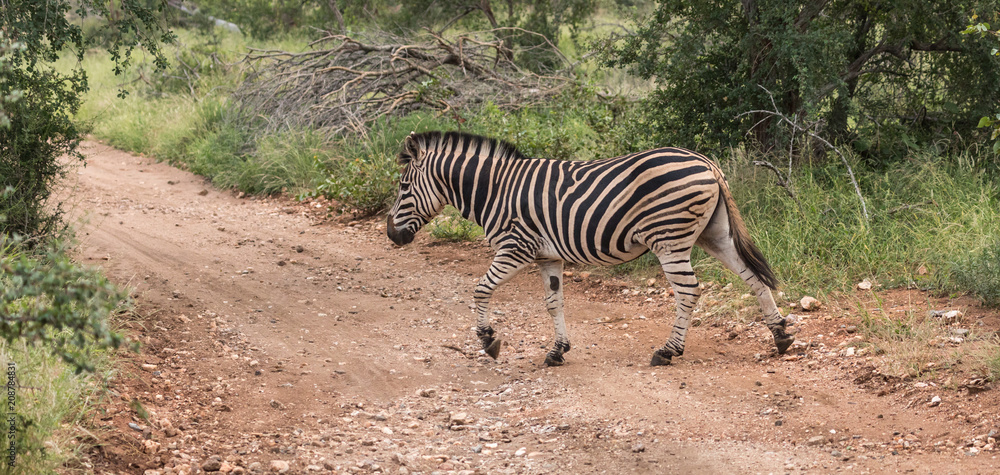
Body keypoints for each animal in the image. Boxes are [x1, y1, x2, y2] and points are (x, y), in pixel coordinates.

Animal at [386, 131, 795, 366]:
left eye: (404, 187)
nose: (391, 234)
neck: (494, 189)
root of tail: (706, 161)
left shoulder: (516, 247)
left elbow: (481, 289)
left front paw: (488, 341)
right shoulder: (547, 256)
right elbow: (554, 302)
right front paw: (557, 351)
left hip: (670, 239)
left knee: (689, 291)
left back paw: (668, 351)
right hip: (715, 234)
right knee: (754, 277)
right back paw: (781, 336)